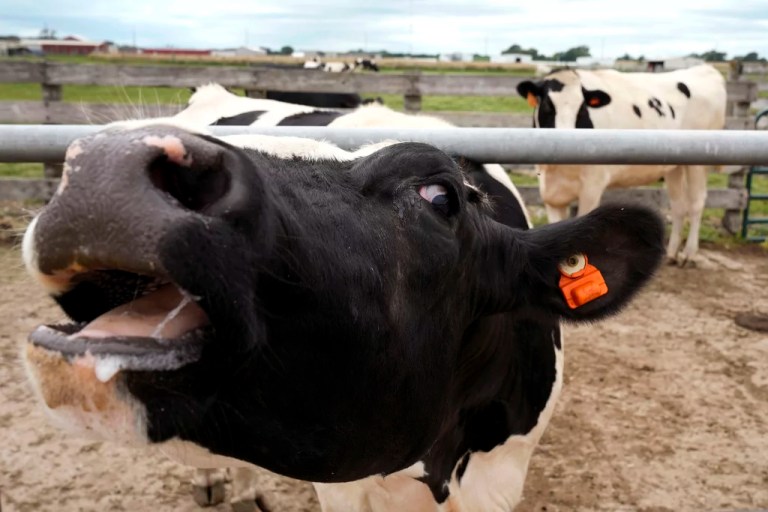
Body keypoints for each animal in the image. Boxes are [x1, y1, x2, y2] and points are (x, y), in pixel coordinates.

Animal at [516, 64, 727, 266]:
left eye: (583, 108)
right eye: (547, 105)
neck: (558, 171)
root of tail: (704, 68)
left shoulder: (592, 186)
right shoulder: (551, 196)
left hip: (699, 162)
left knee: (696, 204)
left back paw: (688, 255)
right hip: (674, 166)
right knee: (678, 206)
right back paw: (672, 253)